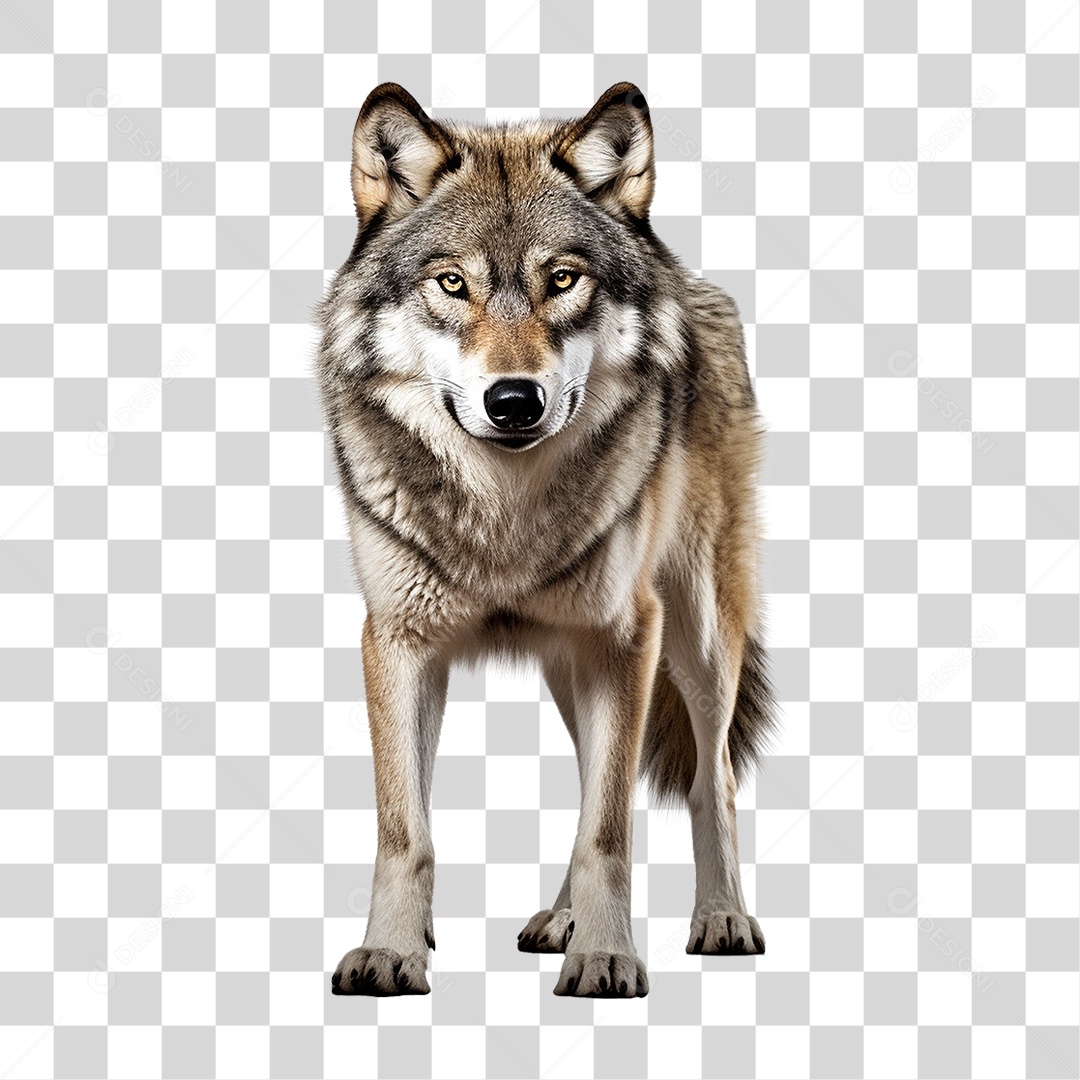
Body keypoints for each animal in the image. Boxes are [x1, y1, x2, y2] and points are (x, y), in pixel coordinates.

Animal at [319, 82, 775, 999]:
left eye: (562, 279)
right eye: (452, 283)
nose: (513, 400)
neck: (504, 512)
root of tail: (687, 275)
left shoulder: (628, 636)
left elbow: (609, 831)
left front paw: (605, 958)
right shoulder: (397, 641)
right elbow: (405, 830)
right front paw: (391, 951)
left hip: (695, 638)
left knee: (709, 778)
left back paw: (721, 920)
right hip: (575, 666)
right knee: (598, 776)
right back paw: (560, 919)